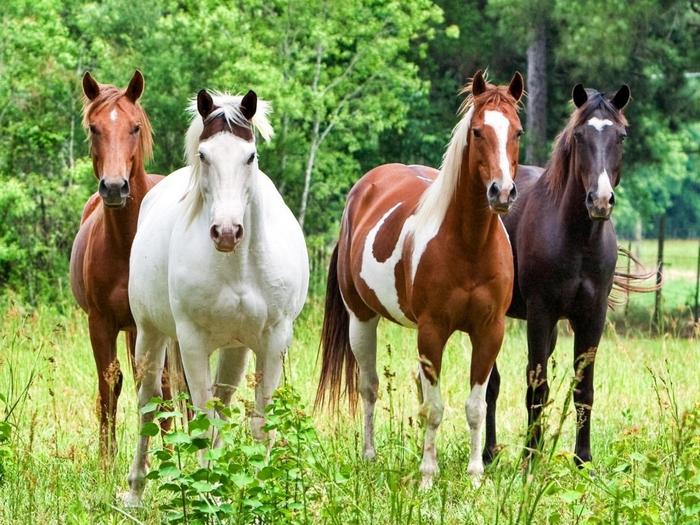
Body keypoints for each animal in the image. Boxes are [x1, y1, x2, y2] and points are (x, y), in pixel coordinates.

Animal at [69, 70, 169, 458]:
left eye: (134, 127)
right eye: (94, 127)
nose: (114, 188)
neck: (127, 244)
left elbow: (161, 387)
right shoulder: (100, 324)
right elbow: (109, 385)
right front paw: (106, 459)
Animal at [123, 89, 309, 506]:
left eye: (250, 156)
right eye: (204, 155)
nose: (226, 231)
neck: (237, 267)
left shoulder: (273, 341)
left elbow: (258, 423)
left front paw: (258, 492)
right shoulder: (192, 342)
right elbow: (202, 420)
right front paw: (208, 495)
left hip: (235, 349)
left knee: (220, 406)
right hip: (150, 334)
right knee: (148, 404)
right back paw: (135, 491)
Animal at [316, 70, 524, 489]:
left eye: (518, 132)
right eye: (478, 131)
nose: (503, 192)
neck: (470, 245)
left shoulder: (489, 331)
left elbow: (474, 406)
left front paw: (475, 476)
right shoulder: (432, 331)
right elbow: (435, 407)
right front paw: (428, 476)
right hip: (361, 319)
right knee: (369, 387)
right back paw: (370, 456)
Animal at [482, 84, 634, 467]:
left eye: (621, 136)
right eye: (579, 136)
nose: (600, 200)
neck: (576, 239)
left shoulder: (592, 317)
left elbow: (583, 389)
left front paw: (583, 460)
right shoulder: (541, 313)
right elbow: (536, 388)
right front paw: (530, 461)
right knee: (491, 383)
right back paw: (489, 453)